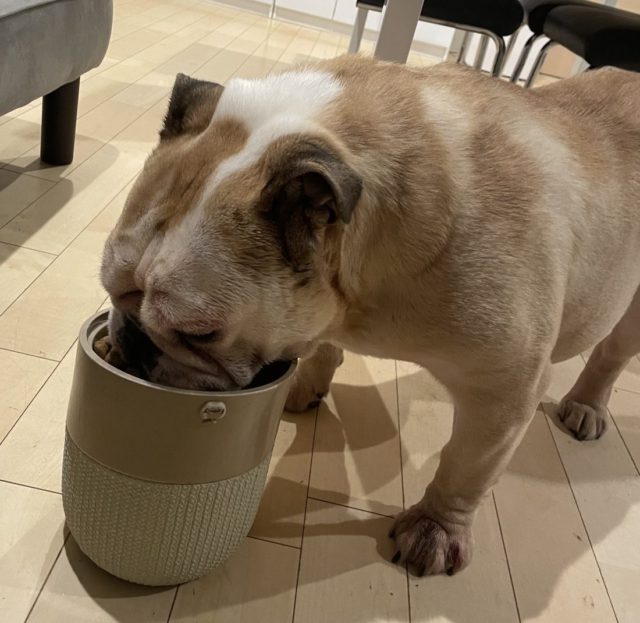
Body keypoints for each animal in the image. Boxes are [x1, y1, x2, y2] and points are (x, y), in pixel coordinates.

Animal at [101, 55, 640, 576]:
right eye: (111, 287)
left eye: (201, 333)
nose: (134, 341)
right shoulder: (324, 308)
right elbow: (320, 346)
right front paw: (304, 385)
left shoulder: (503, 390)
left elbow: (466, 465)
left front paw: (434, 528)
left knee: (611, 354)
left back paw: (586, 406)